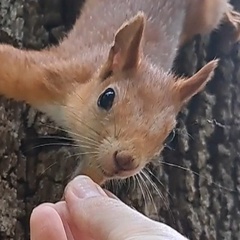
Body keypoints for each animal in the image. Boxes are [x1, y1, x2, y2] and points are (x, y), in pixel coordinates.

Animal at [0, 0, 239, 184]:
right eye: (106, 97)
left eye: (169, 135)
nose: (125, 161)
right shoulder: (55, 74)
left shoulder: (97, 162)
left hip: (204, 17)